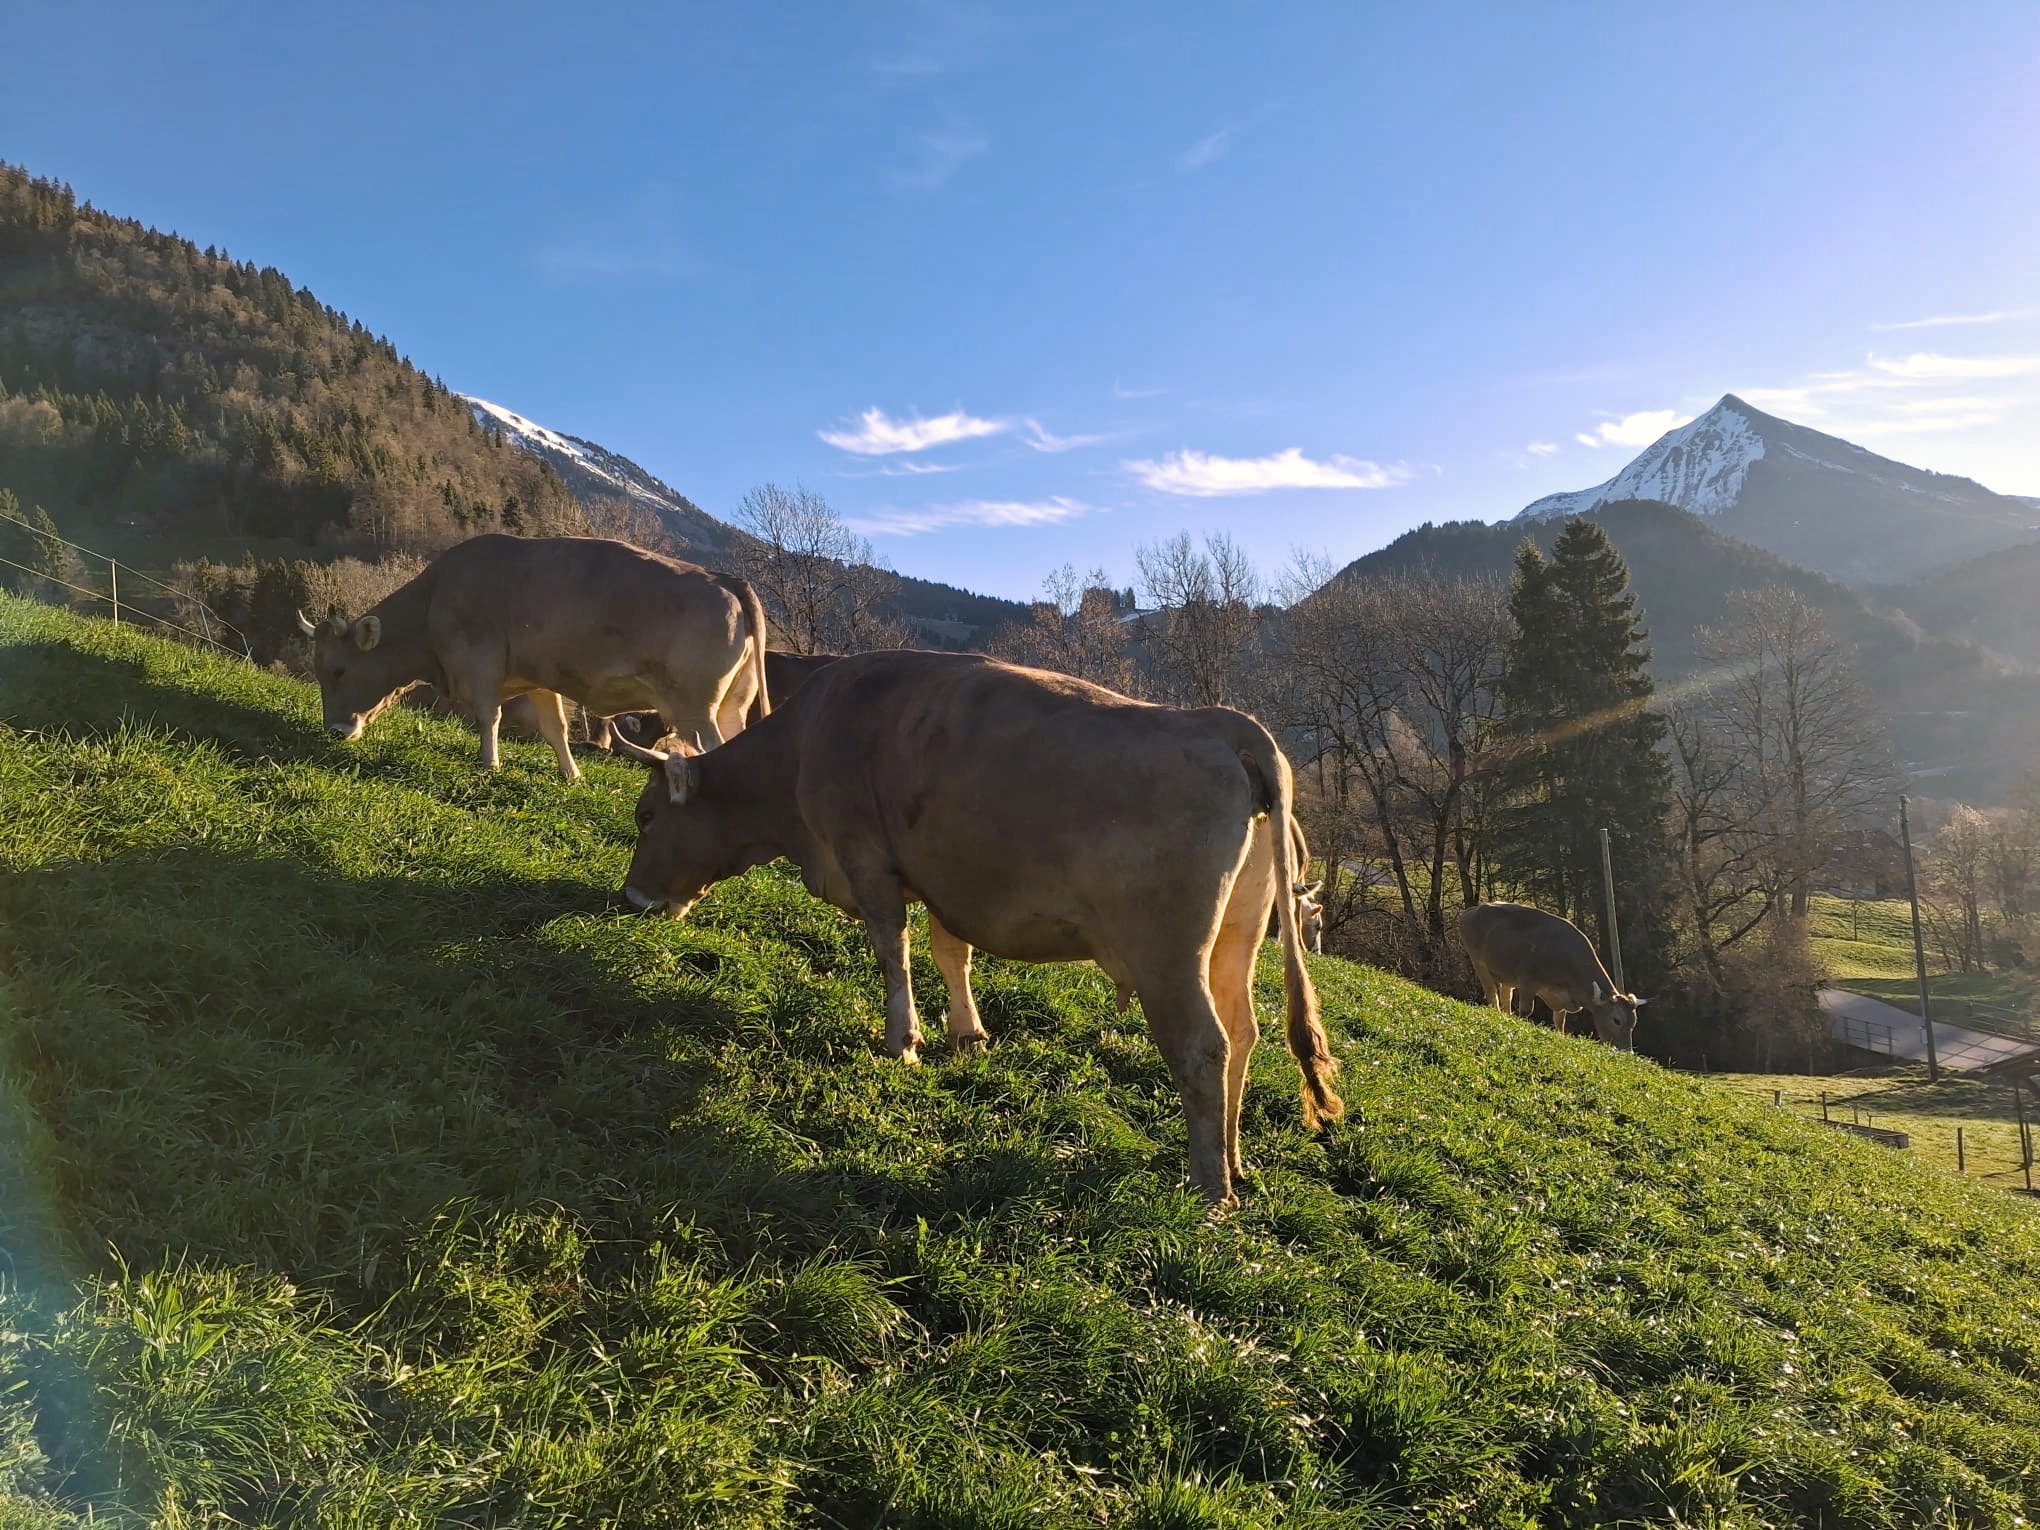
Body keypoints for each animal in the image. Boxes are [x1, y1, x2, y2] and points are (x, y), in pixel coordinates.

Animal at [295, 534, 771, 782]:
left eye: (337, 670)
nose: (335, 730)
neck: (435, 599)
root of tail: (726, 579)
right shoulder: (540, 679)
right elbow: (555, 728)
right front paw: (572, 775)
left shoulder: (482, 661)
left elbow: (489, 716)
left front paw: (489, 764)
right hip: (732, 705)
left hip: (695, 708)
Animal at [612, 650, 1344, 1208]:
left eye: (647, 816)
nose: (630, 899)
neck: (806, 742)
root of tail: (1222, 721)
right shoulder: (944, 879)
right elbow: (950, 953)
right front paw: (967, 1033)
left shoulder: (867, 858)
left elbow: (894, 951)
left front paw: (903, 1041)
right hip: (1235, 937)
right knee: (1244, 1032)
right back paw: (1234, 1156)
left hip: (1167, 953)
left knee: (1202, 1046)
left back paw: (1209, 1185)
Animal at [1456, 901, 1643, 1050]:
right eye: (1616, 1020)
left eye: (1633, 1023)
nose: (1626, 1052)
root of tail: (1473, 909)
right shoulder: (1528, 980)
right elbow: (1526, 1010)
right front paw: (1520, 1027)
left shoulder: (1562, 999)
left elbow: (1560, 1021)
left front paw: (1560, 1037)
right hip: (1479, 963)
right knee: (1492, 994)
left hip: (1506, 974)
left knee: (1506, 997)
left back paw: (1506, 1016)